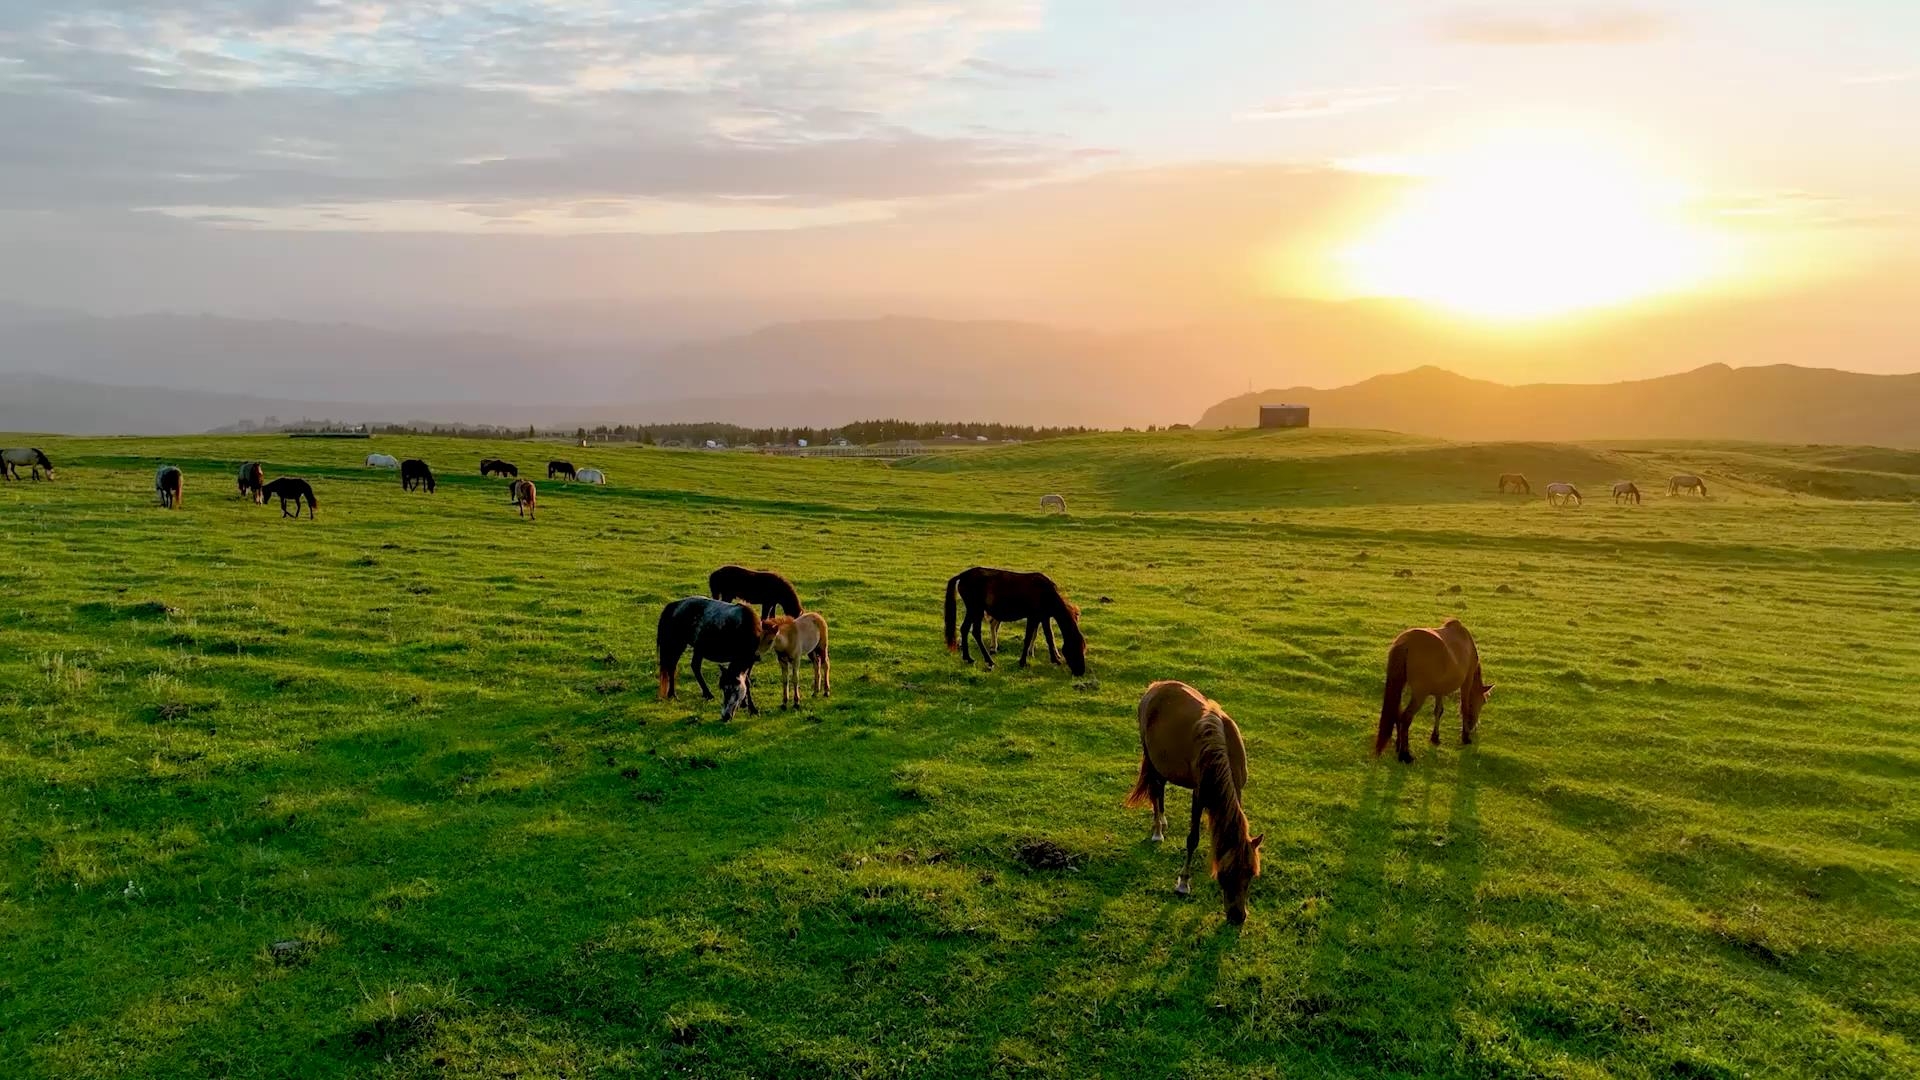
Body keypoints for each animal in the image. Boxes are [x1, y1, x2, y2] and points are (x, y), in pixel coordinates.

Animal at [948, 564, 1090, 672]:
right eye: (1074, 649)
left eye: (1083, 648)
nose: (1080, 671)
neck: (1048, 594)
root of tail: (963, 576)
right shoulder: (1033, 617)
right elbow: (1028, 639)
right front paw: (1023, 662)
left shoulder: (1043, 617)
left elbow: (1049, 637)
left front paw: (1055, 659)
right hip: (975, 609)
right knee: (975, 632)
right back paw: (989, 660)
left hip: (974, 610)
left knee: (965, 629)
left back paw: (968, 658)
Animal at [1121, 676, 1259, 922]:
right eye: (1226, 873)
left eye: (1251, 873)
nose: (1237, 916)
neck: (1222, 751)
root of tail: (1156, 686)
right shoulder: (1199, 794)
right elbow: (1192, 839)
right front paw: (1183, 883)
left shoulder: (1238, 789)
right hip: (1151, 757)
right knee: (1156, 790)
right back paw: (1158, 830)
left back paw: (1163, 821)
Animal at [1374, 618, 1489, 760]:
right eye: (1483, 702)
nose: (1473, 726)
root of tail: (1406, 642)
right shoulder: (1467, 682)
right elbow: (1465, 708)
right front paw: (1465, 737)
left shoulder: (1440, 689)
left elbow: (1438, 711)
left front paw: (1435, 737)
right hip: (1420, 694)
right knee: (1406, 718)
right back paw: (1405, 755)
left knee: (1397, 713)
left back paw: (1398, 746)